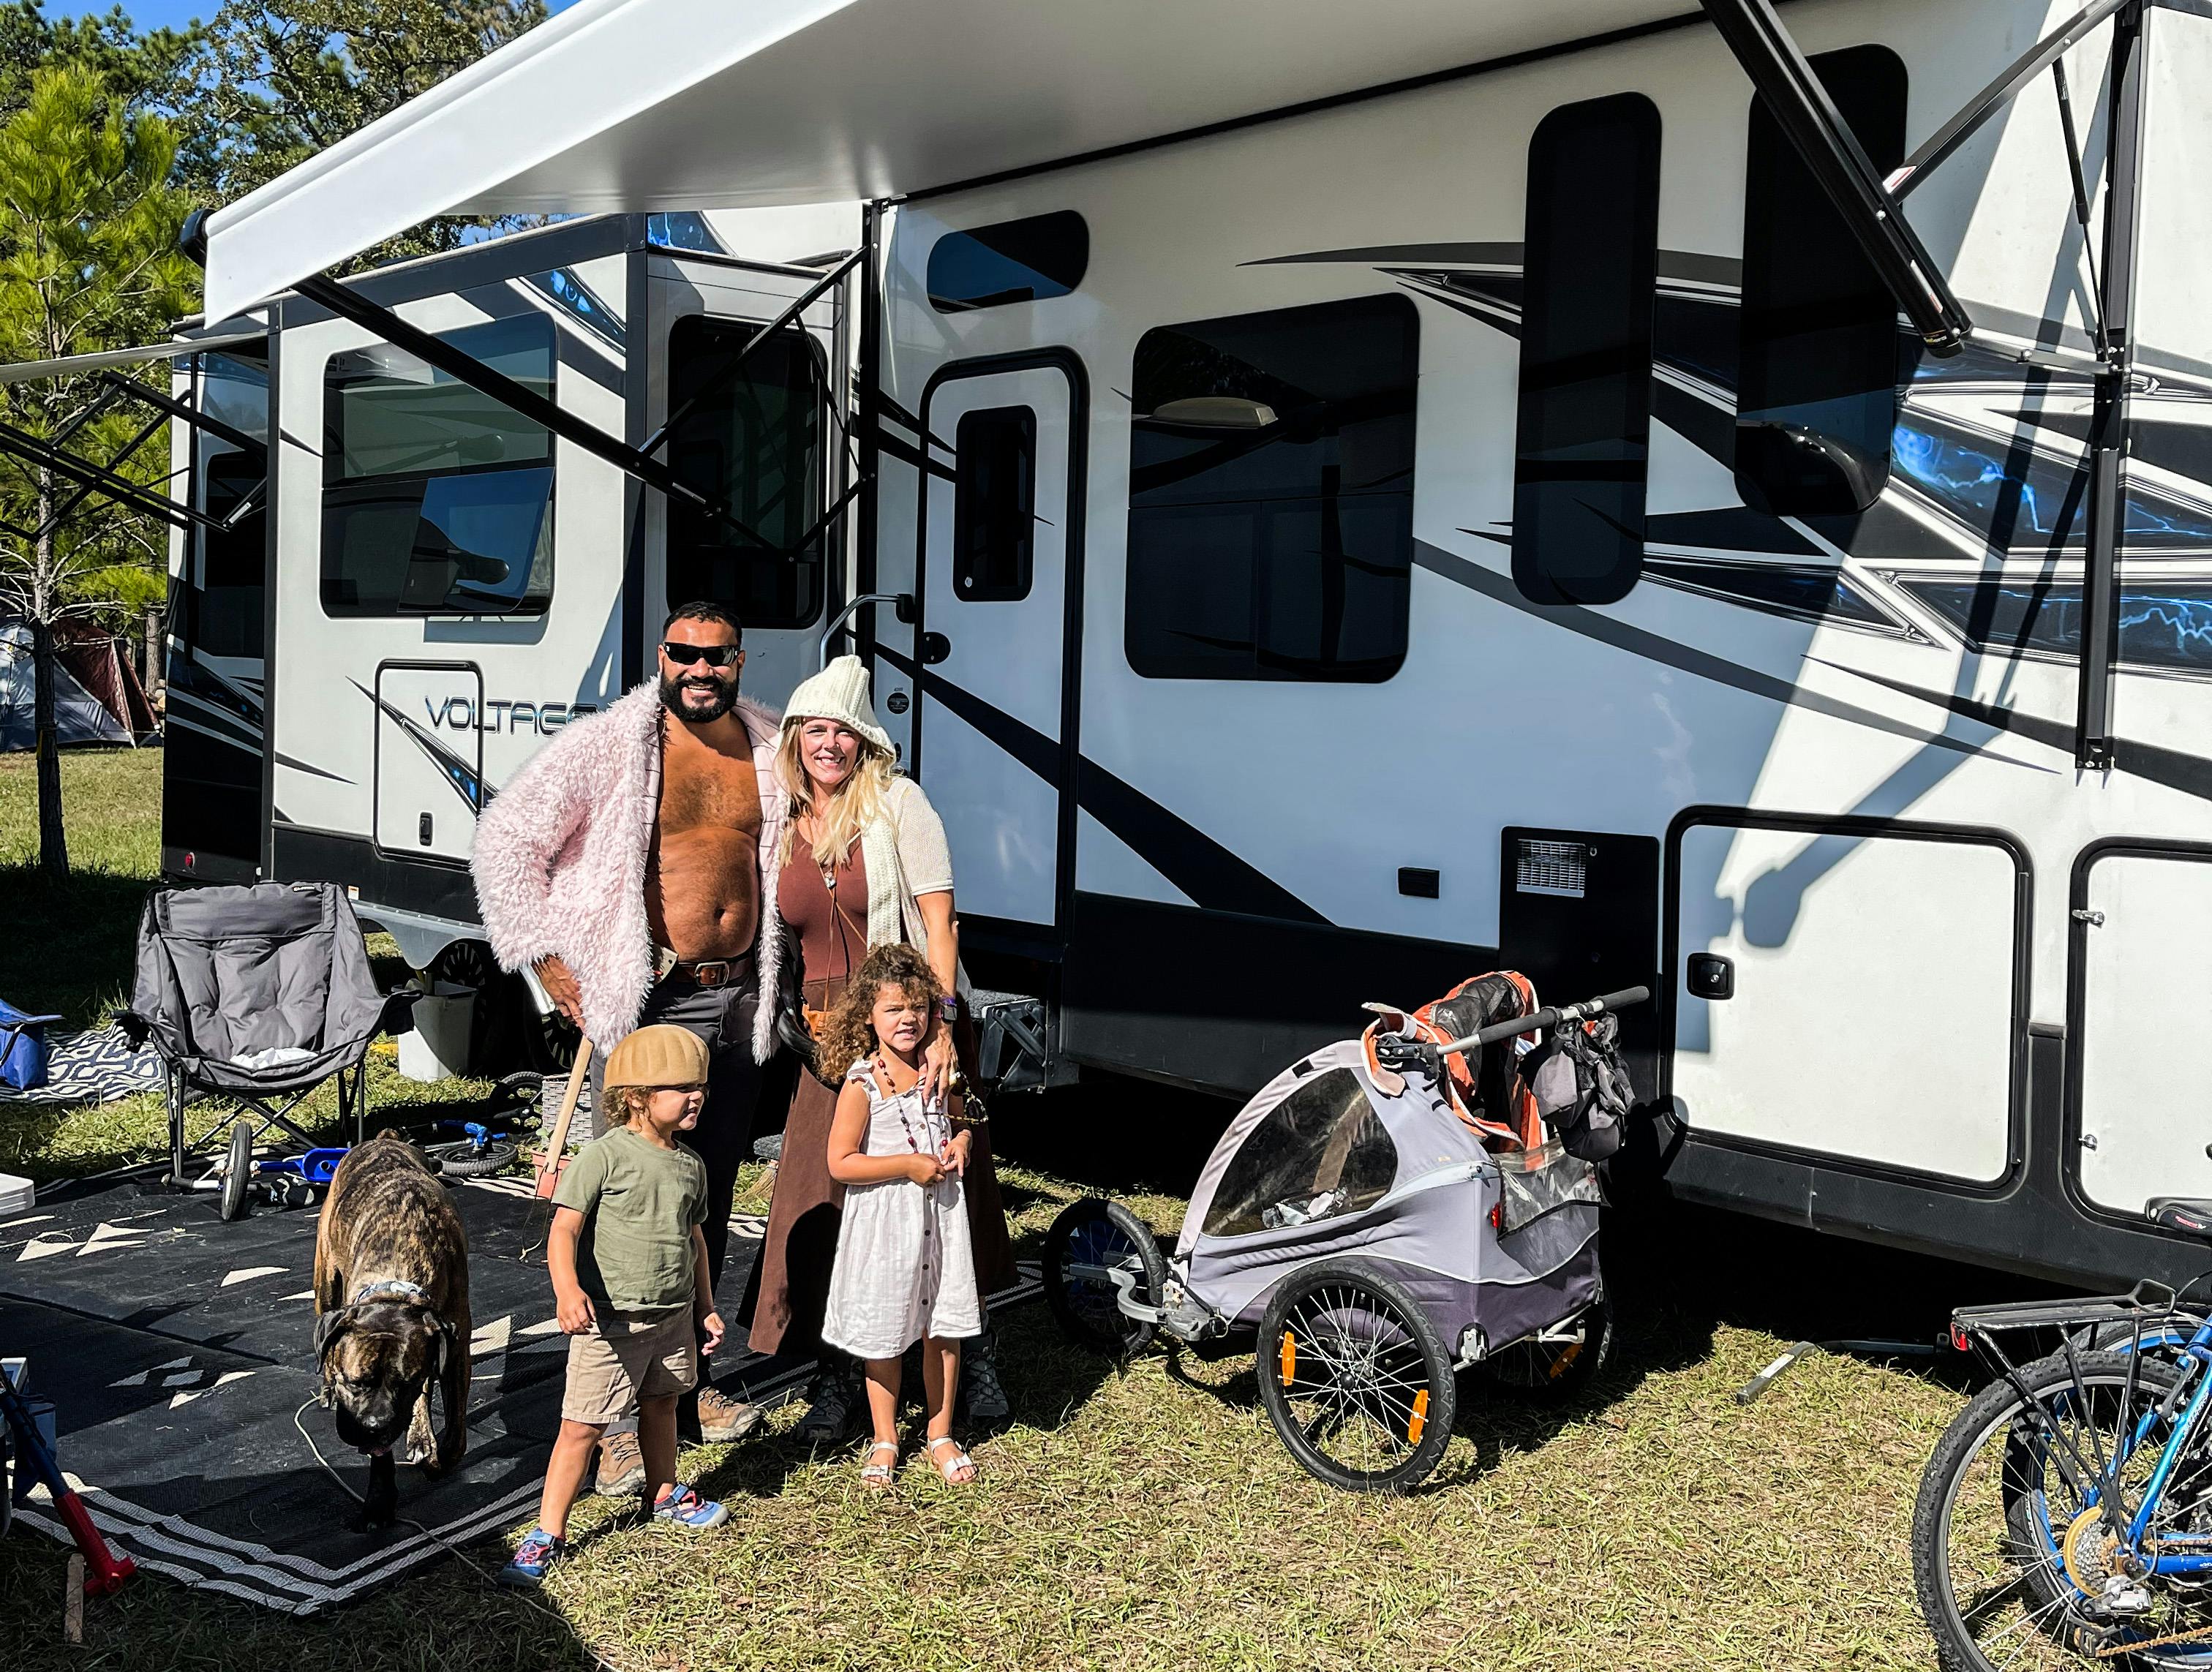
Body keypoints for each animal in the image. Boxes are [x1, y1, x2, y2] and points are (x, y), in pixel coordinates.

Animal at [312, 1128, 471, 1530]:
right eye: (353, 1382)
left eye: (405, 1383)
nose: (375, 1425)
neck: (396, 1286)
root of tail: (383, 1137)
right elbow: (381, 1457)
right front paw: (379, 1502)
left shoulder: (454, 1347)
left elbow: (453, 1428)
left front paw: (437, 1453)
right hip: (325, 1284)